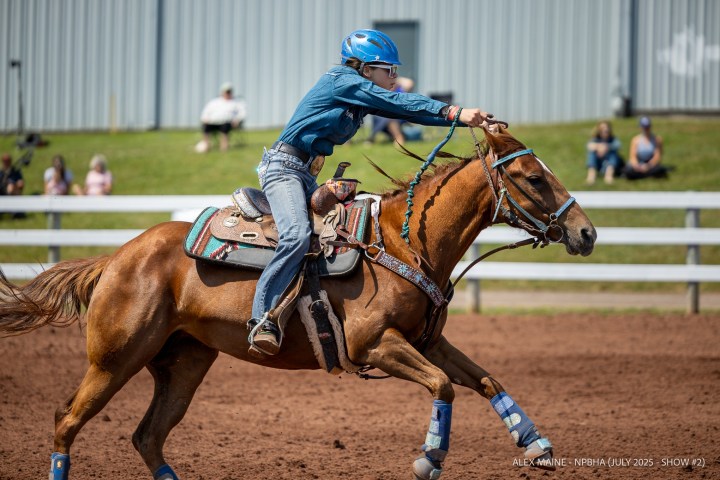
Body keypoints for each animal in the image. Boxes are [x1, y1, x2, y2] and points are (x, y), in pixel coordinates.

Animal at [0, 125, 596, 480]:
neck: (403, 244)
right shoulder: (375, 345)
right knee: (66, 422)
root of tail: (116, 258)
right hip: (114, 359)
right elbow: (444, 385)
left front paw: (535, 443)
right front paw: (429, 457)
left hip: (184, 363)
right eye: (533, 177)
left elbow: (486, 378)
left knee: (148, 436)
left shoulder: (428, 340)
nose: (586, 233)